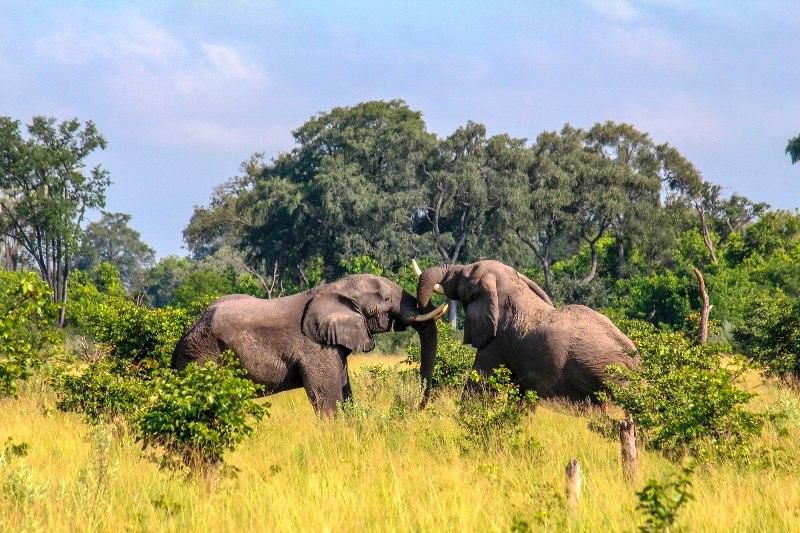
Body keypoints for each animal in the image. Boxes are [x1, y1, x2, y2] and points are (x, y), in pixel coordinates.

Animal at [172, 274, 448, 415]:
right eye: (387, 299)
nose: (415, 409)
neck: (333, 288)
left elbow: (344, 391)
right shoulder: (314, 347)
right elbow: (327, 396)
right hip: (204, 356)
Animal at [414, 260, 639, 402]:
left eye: (465, 275)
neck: (512, 286)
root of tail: (636, 363)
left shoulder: (497, 341)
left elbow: (479, 385)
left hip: (604, 374)